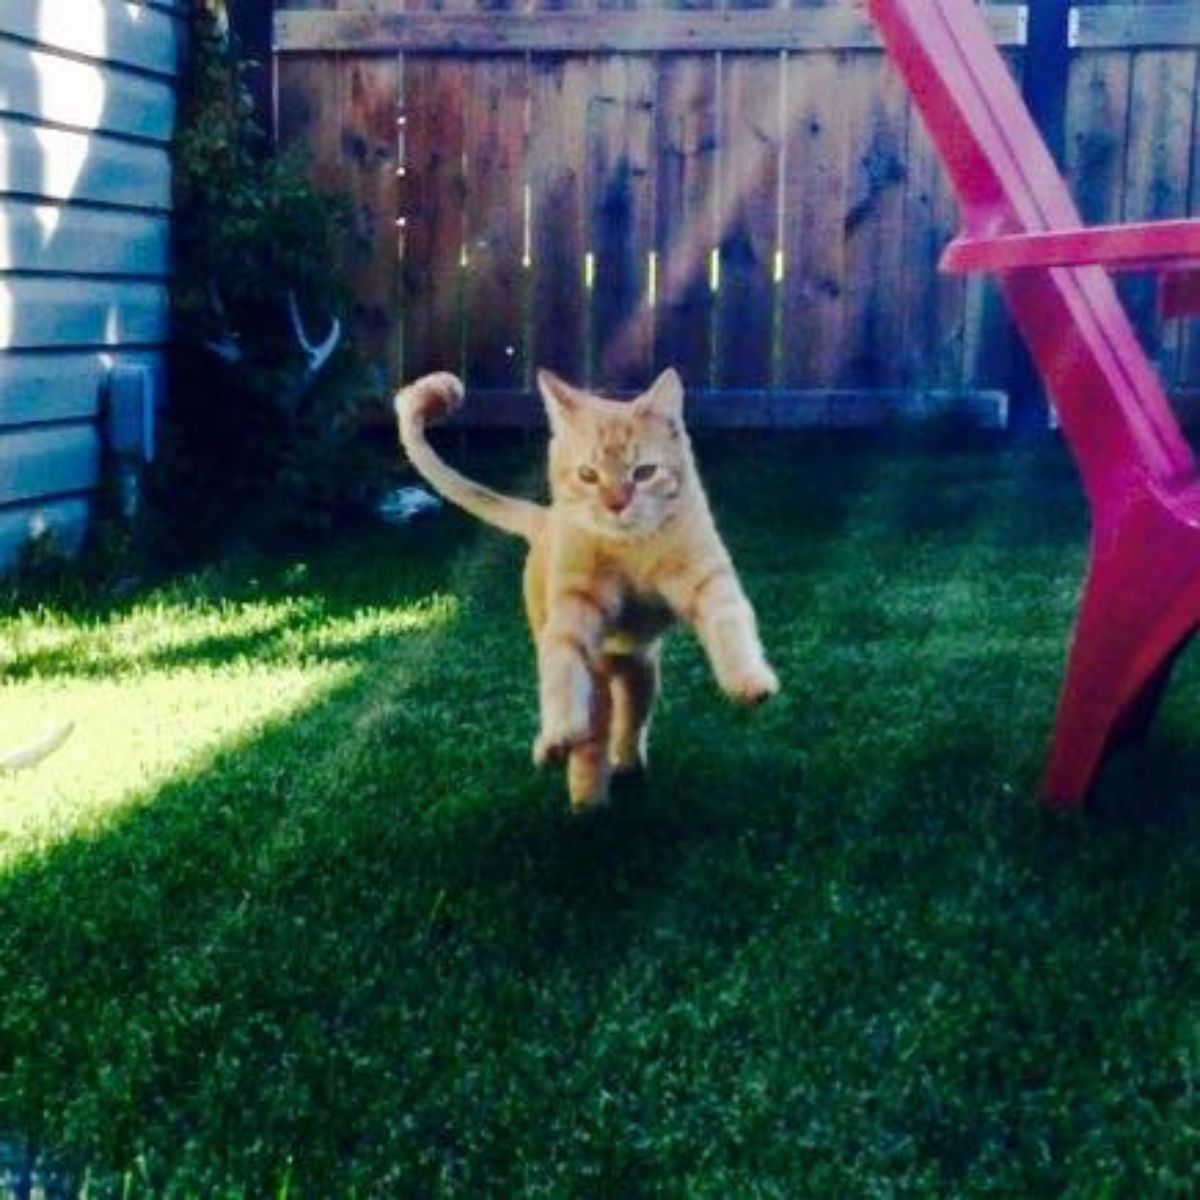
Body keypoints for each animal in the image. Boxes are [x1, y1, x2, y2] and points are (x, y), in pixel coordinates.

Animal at [398, 367, 782, 816]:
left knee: (628, 721)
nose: (616, 504)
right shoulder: (573, 610)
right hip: (597, 670)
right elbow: (561, 675)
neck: (628, 548)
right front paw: (558, 735)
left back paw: (626, 766)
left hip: (640, 670)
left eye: (644, 472)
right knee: (594, 735)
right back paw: (585, 798)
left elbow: (730, 622)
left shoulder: (707, 575)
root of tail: (544, 519)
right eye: (588, 475)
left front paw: (748, 681)